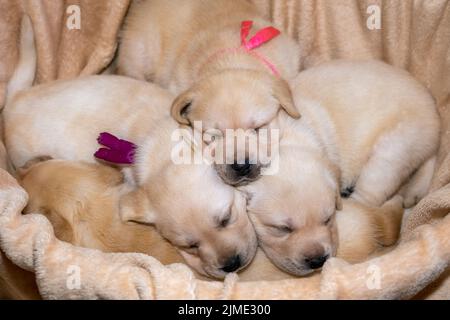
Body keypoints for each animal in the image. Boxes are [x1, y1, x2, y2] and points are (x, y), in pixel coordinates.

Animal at [241, 59, 442, 276]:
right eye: (282, 229)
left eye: (328, 219)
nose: (317, 260)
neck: (285, 143)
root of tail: (434, 114)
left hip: (392, 152)